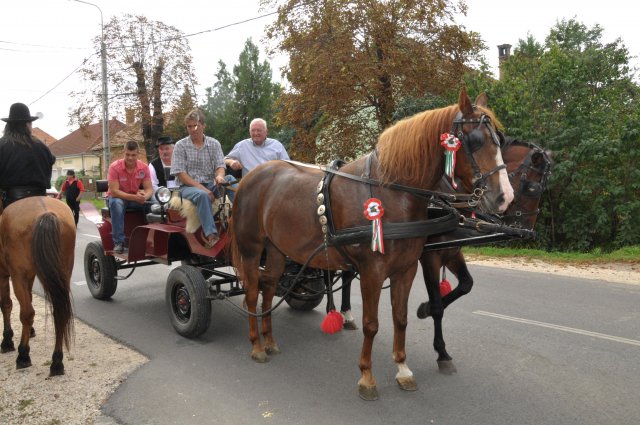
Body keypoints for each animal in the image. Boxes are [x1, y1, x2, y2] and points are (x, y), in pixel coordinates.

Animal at [0, 195, 75, 374]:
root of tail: (45, 213)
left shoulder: (5, 275)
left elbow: (6, 304)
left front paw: (7, 340)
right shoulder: (29, 276)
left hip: (18, 276)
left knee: (26, 313)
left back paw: (23, 355)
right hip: (63, 274)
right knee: (59, 313)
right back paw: (57, 361)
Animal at [230, 88, 516, 400]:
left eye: (500, 140)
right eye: (474, 141)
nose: (505, 197)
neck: (391, 192)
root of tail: (249, 177)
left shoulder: (406, 269)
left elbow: (400, 318)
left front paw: (403, 369)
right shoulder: (372, 271)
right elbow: (371, 324)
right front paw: (367, 377)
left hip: (277, 249)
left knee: (269, 288)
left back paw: (270, 340)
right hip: (251, 248)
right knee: (252, 292)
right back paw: (257, 345)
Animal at [418, 137, 552, 372]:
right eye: (532, 187)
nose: (525, 231)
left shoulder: (452, 251)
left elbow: (466, 284)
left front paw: (423, 309)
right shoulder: (430, 257)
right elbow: (437, 306)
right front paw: (441, 351)